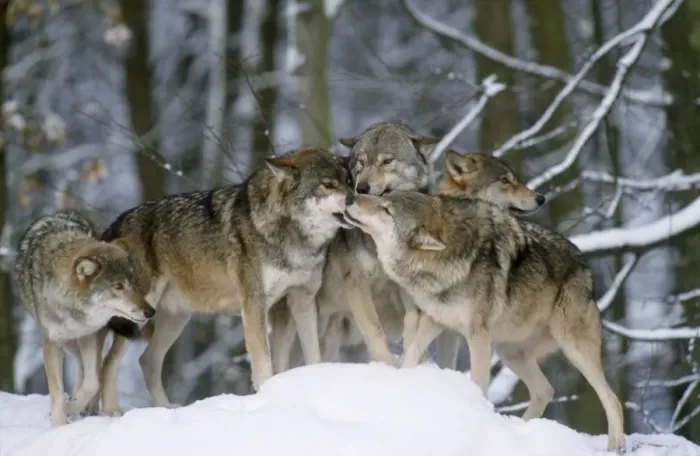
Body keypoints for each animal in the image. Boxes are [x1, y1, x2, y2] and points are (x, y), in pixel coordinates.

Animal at [14, 209, 155, 425]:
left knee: (95, 368)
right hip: (68, 344)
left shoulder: (89, 334)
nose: (150, 312)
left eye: (134, 283)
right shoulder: (53, 342)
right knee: (82, 364)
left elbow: (92, 382)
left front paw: (72, 408)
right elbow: (57, 392)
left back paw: (88, 407)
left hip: (93, 337)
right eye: (118, 286)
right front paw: (60, 422)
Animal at [98, 146, 352, 409]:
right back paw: (113, 411)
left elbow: (312, 354)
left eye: (348, 181)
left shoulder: (301, 300)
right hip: (138, 315)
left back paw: (166, 408)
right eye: (328, 185)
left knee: (147, 362)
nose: (354, 199)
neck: (293, 237)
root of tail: (116, 223)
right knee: (109, 364)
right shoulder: (254, 305)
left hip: (175, 319)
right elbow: (263, 363)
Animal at [343, 192, 625, 452]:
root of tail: (585, 265)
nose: (350, 197)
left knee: (612, 399)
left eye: (387, 210)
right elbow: (412, 352)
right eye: (383, 197)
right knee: (545, 390)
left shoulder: (477, 334)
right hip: (509, 352)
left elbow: (478, 380)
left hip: (573, 349)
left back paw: (616, 444)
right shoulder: (435, 320)